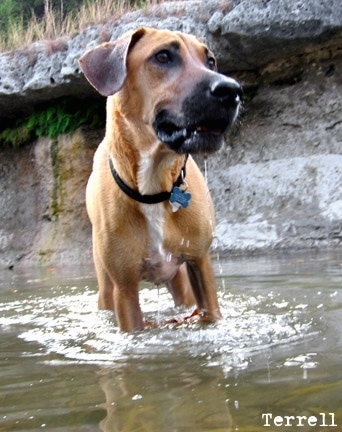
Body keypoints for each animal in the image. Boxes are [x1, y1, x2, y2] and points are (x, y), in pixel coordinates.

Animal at [79, 27, 242, 330]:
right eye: (163, 56)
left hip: (180, 280)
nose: (232, 91)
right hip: (106, 285)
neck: (155, 184)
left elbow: (210, 311)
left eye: (210, 61)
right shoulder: (125, 289)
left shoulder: (199, 262)